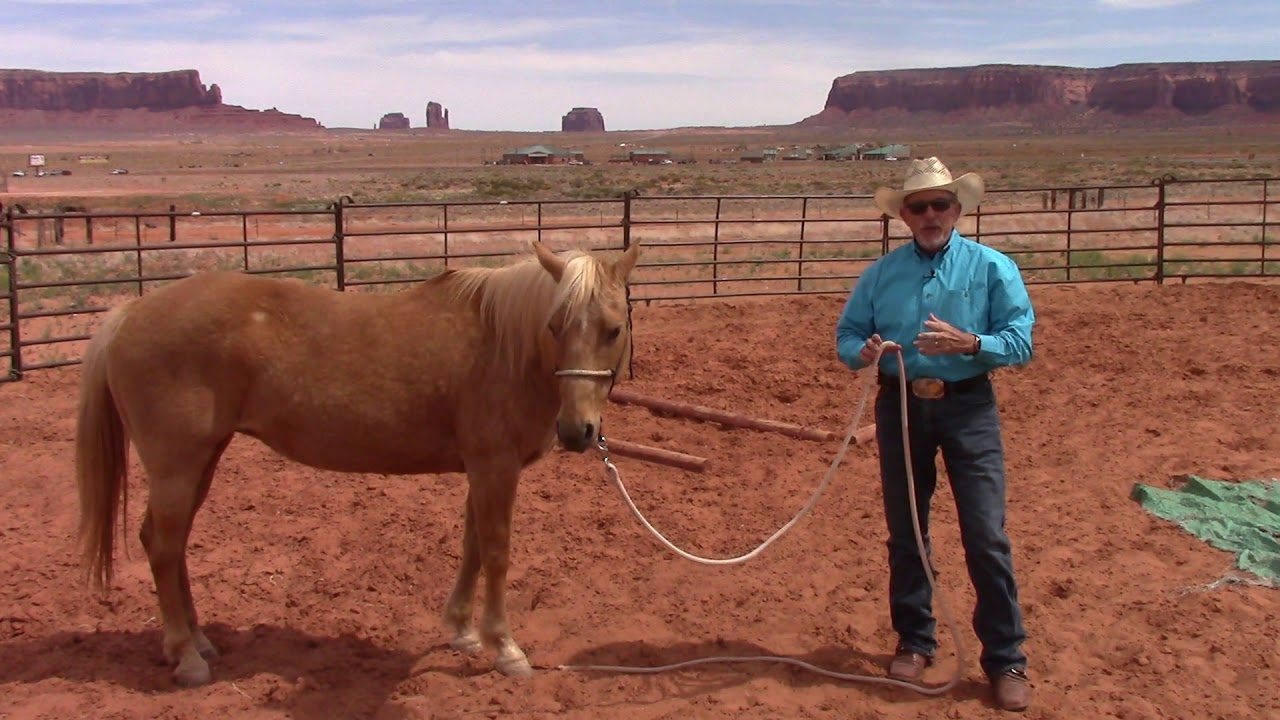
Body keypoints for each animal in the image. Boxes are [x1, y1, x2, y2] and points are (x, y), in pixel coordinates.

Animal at [74, 239, 640, 687]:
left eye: (613, 329)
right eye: (554, 325)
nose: (576, 431)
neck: (504, 347)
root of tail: (128, 313)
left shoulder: (482, 471)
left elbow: (473, 546)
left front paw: (460, 630)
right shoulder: (494, 468)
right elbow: (497, 552)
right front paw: (504, 648)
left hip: (203, 460)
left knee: (172, 546)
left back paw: (197, 640)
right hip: (176, 465)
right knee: (163, 547)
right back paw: (187, 658)